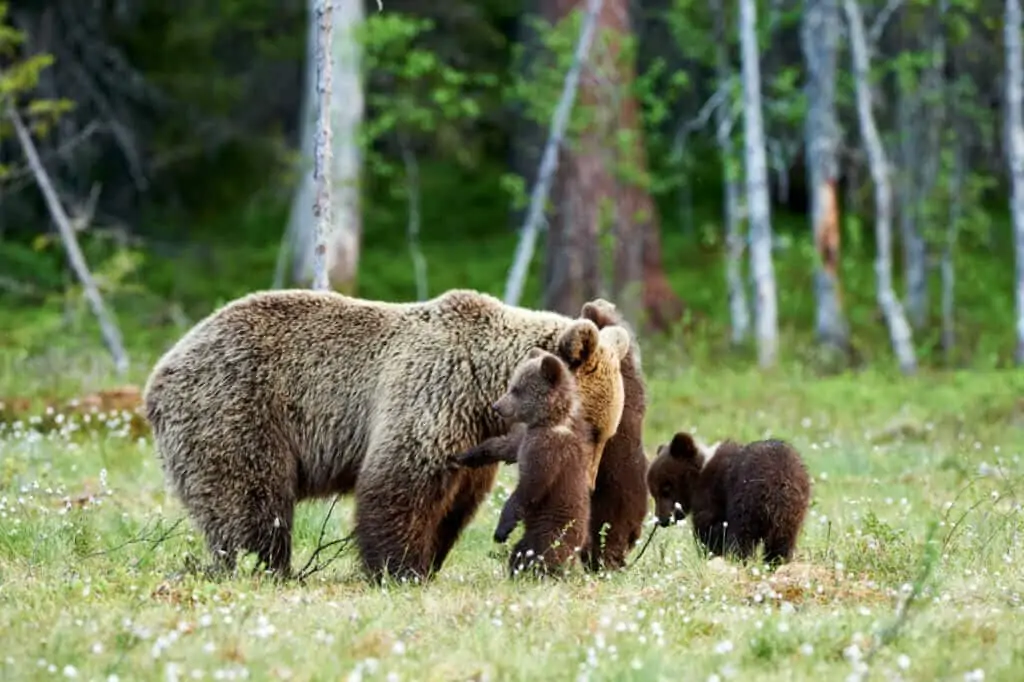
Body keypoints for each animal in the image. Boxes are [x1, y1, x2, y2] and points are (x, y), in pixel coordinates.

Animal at [144, 284, 630, 577]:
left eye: (605, 434)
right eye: (590, 430)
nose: (586, 484)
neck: (484, 382)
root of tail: (161, 370)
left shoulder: (472, 433)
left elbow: (456, 501)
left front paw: (429, 560)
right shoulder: (432, 392)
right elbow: (403, 484)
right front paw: (399, 569)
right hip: (235, 409)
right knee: (251, 499)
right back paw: (266, 566)